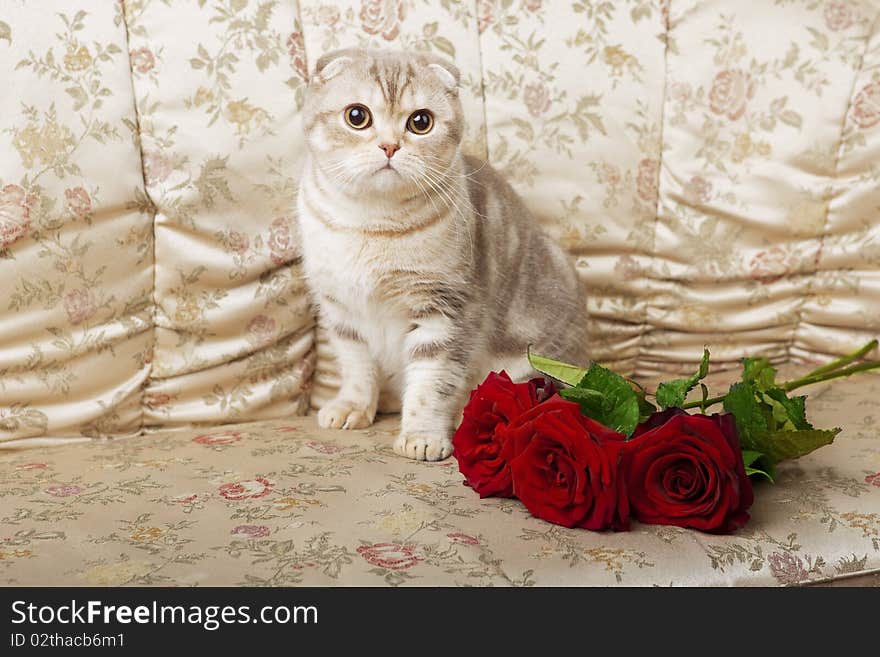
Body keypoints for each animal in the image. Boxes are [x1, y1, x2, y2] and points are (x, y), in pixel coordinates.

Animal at [294, 48, 584, 462]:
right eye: (357, 116)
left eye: (420, 122)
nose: (389, 146)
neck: (371, 225)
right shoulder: (341, 311)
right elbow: (356, 367)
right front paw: (354, 406)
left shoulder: (444, 310)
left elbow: (431, 383)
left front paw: (422, 435)